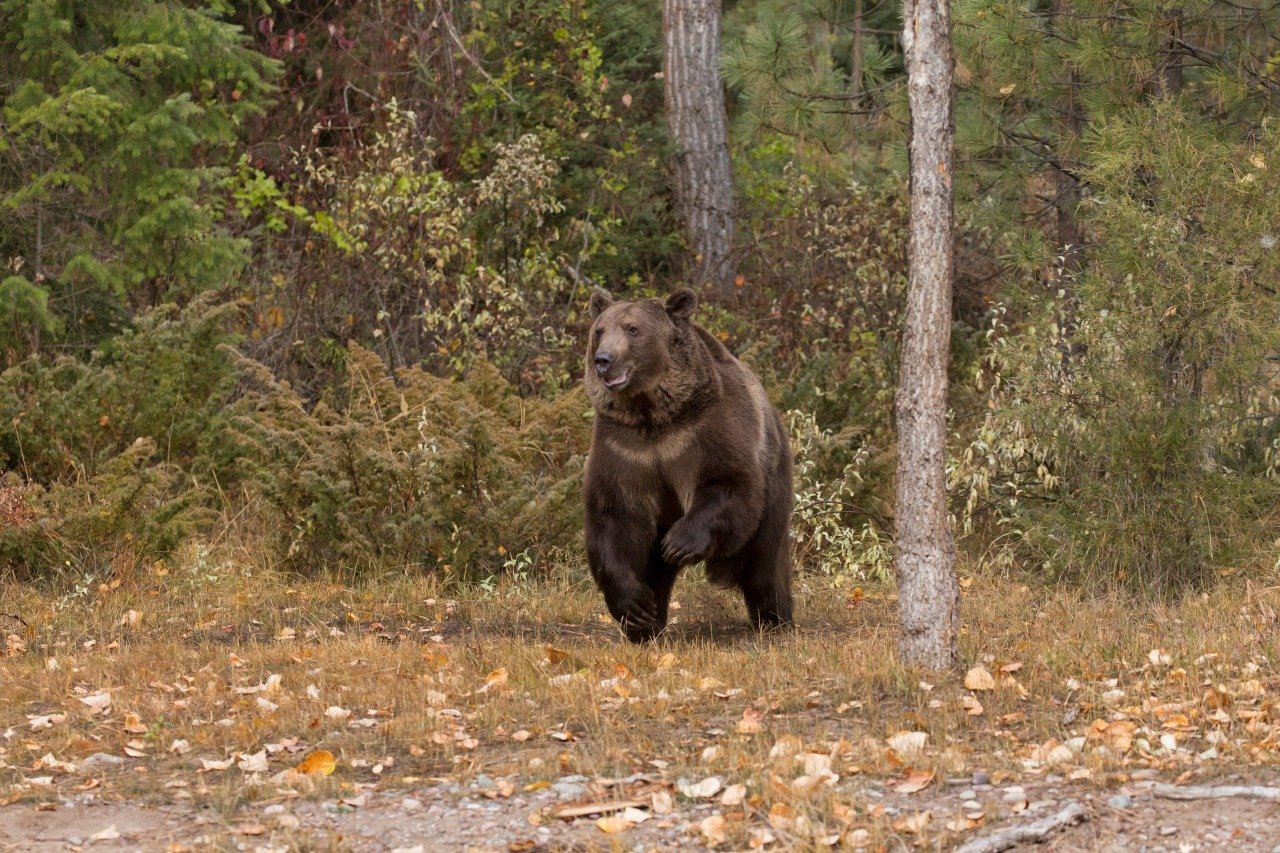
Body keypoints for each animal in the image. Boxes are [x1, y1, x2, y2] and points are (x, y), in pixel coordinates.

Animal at [581, 285, 788, 637]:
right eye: (599, 331)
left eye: (632, 329)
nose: (603, 360)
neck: (654, 414)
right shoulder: (624, 447)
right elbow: (614, 514)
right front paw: (633, 607)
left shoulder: (706, 430)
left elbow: (728, 482)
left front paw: (679, 543)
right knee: (654, 568)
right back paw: (647, 623)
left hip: (774, 477)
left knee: (765, 561)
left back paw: (776, 617)